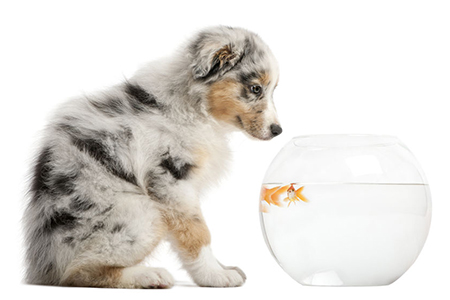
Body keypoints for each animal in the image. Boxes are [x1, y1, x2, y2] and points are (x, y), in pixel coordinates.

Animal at [23, 25, 282, 288]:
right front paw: (215, 275)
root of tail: (43, 264)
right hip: (142, 214)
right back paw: (149, 276)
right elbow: (197, 231)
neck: (193, 105)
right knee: (77, 272)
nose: (277, 130)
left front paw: (222, 268)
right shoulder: (171, 180)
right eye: (256, 89)